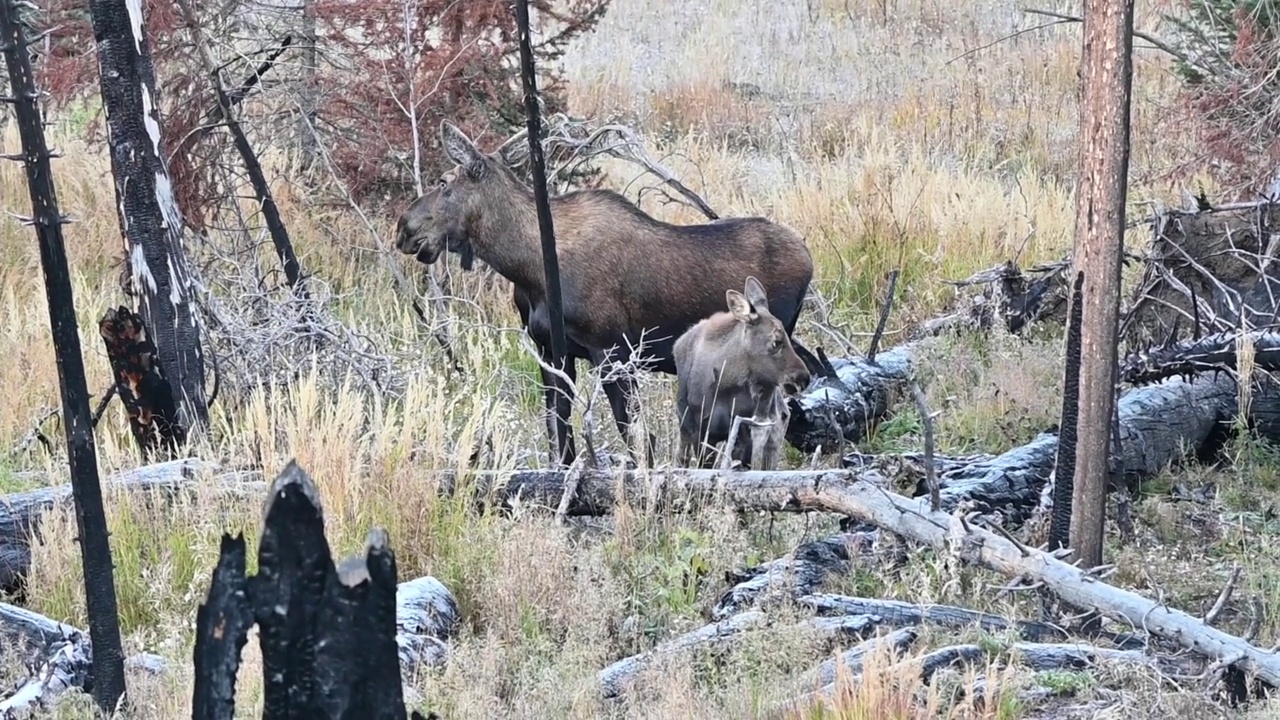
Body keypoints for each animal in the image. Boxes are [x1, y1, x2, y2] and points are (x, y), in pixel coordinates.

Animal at [670, 275, 808, 471]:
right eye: (776, 341)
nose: (803, 378)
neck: (725, 382)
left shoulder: (744, 427)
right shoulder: (700, 431)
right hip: (685, 425)